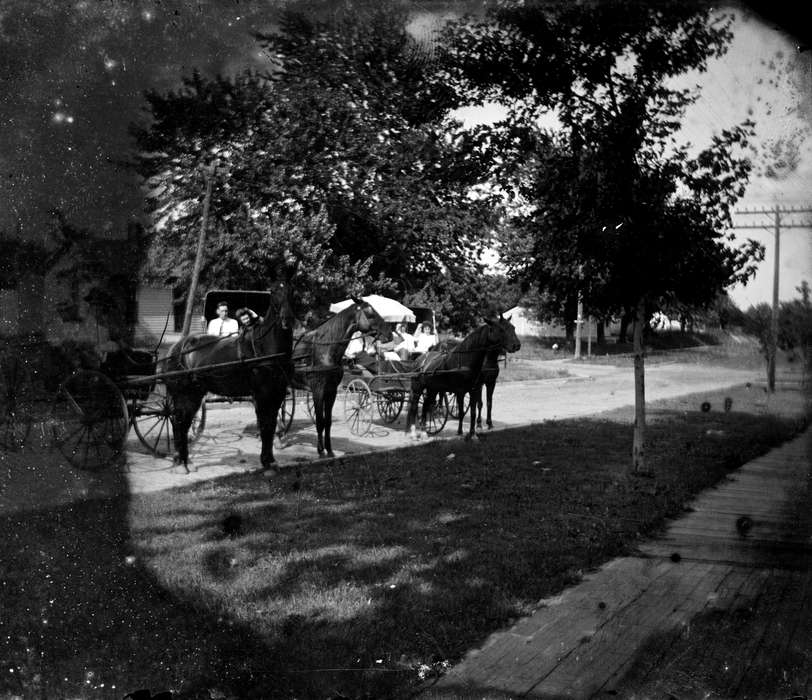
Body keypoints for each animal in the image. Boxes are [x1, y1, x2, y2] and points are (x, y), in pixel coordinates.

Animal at [161, 284, 294, 476]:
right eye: (275, 294)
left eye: (292, 292)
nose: (287, 320)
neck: (265, 349)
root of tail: (176, 349)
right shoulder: (262, 396)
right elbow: (265, 426)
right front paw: (267, 463)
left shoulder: (277, 394)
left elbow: (270, 425)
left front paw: (271, 461)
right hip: (184, 394)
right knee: (179, 424)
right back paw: (180, 463)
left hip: (193, 395)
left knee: (182, 424)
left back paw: (184, 461)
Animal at [292, 296, 394, 456]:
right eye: (370, 313)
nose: (389, 334)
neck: (324, 351)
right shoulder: (318, 391)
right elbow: (320, 421)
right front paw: (320, 450)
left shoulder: (331, 391)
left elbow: (327, 421)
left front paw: (329, 450)